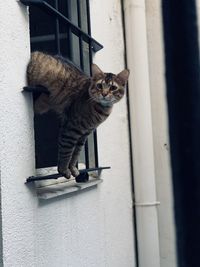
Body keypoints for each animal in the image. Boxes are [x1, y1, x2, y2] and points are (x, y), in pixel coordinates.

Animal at [27, 51, 130, 179]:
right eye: (99, 86)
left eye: (113, 87)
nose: (104, 94)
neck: (100, 111)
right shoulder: (71, 130)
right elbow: (66, 152)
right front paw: (64, 170)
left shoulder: (84, 134)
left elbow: (75, 154)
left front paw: (73, 169)